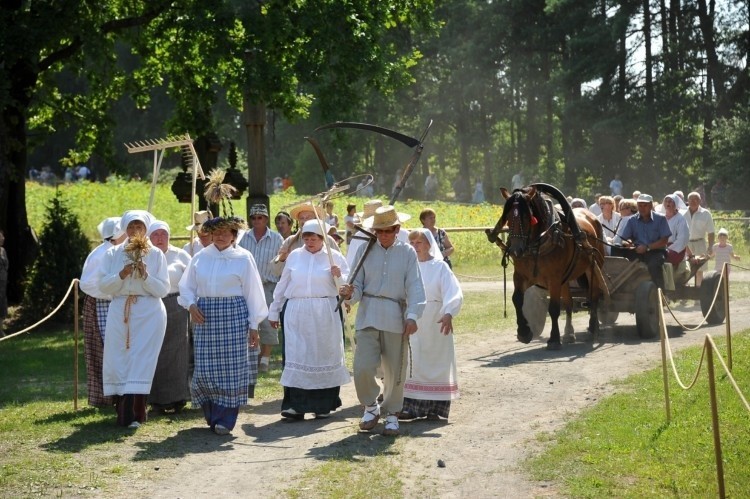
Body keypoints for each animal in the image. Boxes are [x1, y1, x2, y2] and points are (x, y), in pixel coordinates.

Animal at [490, 185, 608, 352]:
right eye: (508, 217)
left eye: (526, 217)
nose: (515, 250)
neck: (539, 243)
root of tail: (592, 217)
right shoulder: (520, 276)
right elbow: (517, 299)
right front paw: (524, 332)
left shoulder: (554, 279)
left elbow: (553, 308)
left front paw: (554, 339)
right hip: (566, 277)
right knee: (569, 303)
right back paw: (569, 333)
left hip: (592, 268)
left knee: (593, 297)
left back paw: (593, 328)